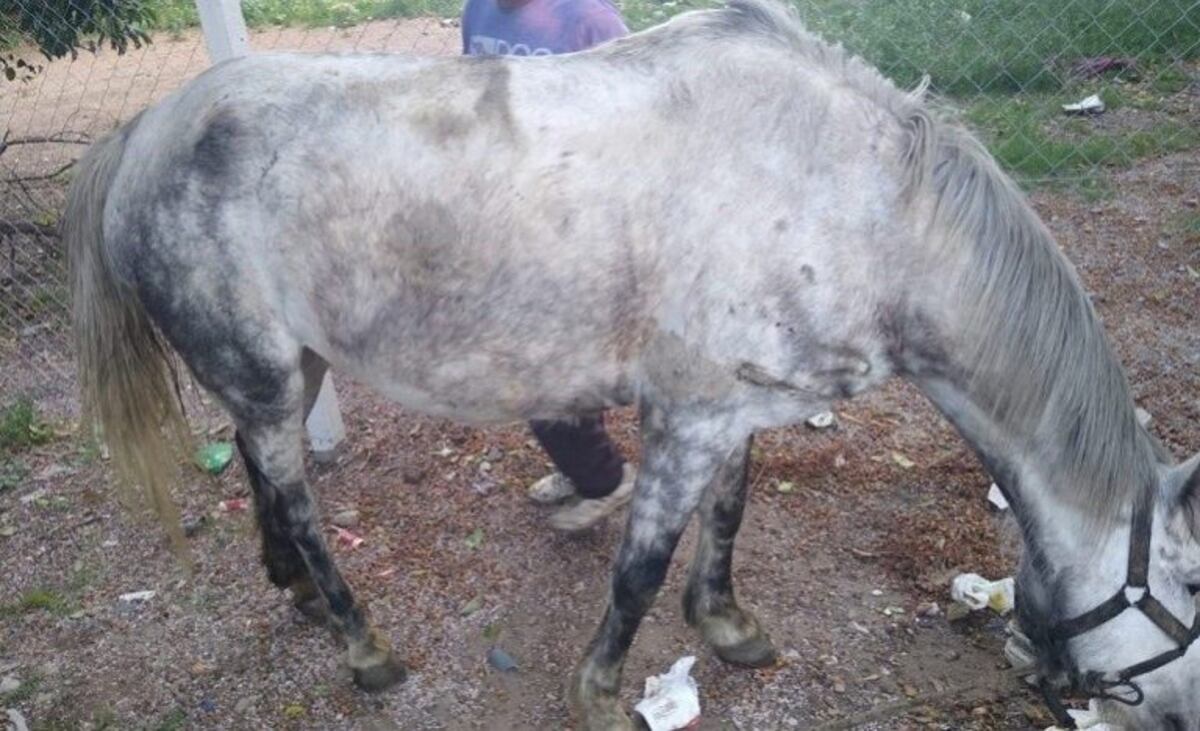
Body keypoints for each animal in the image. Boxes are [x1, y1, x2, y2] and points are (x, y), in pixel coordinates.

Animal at [65, 1, 1200, 728]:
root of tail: (148, 128)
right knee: (295, 493)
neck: (864, 202)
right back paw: (360, 641)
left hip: (290, 369)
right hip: (266, 376)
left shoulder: (733, 406)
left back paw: (293, 588)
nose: (1181, 718)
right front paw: (603, 692)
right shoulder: (686, 418)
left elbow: (727, 517)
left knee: (261, 466)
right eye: (1190, 579)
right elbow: (640, 565)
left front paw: (728, 622)